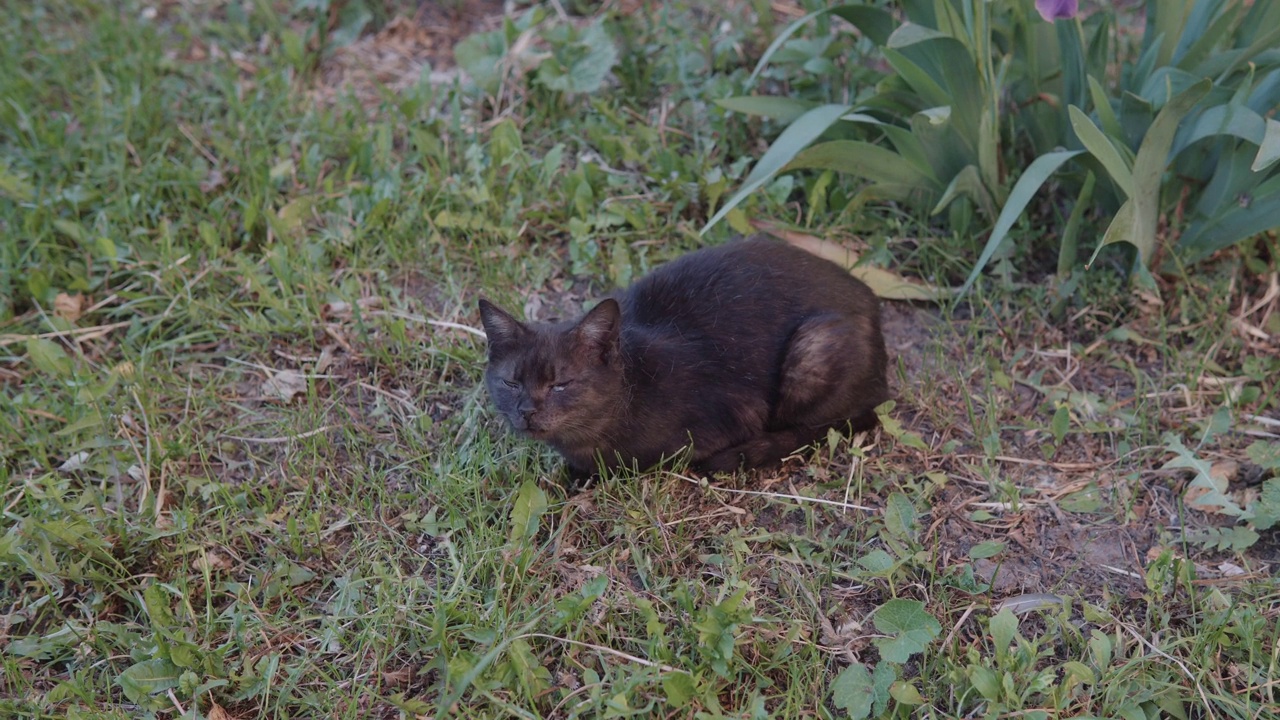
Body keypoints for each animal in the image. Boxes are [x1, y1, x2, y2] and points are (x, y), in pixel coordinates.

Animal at [481, 234, 890, 476]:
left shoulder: (736, 412)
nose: (527, 411)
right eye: (511, 383)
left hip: (812, 349)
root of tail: (872, 303)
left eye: (561, 385)